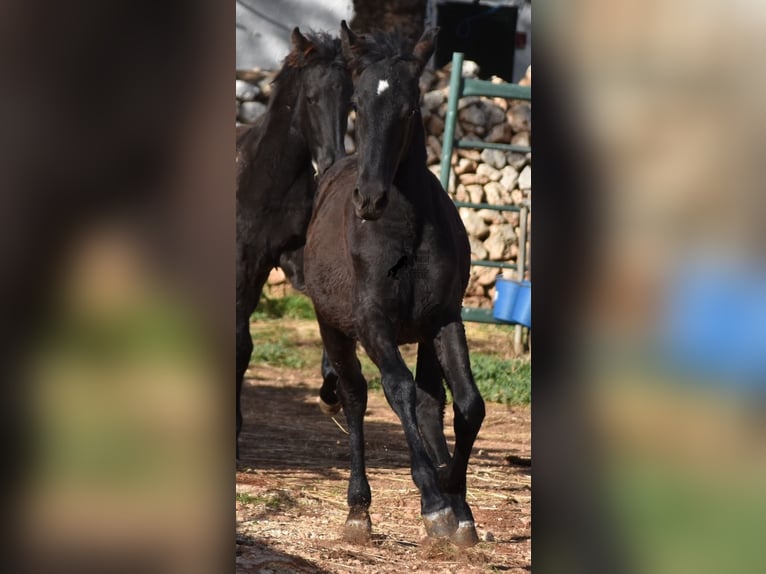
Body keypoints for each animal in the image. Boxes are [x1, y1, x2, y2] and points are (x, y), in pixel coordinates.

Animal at [236, 29, 352, 456]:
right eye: (312, 97)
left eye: (350, 101)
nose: (332, 160)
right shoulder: (244, 262)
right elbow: (241, 344)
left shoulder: (294, 257)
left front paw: (330, 391)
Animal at [304, 22, 484, 548]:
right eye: (358, 106)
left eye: (410, 107)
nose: (369, 199)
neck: (405, 230)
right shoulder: (372, 323)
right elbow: (396, 390)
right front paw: (434, 505)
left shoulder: (444, 318)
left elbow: (467, 404)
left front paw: (455, 498)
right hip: (332, 327)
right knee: (355, 395)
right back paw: (358, 509)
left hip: (419, 333)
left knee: (431, 403)